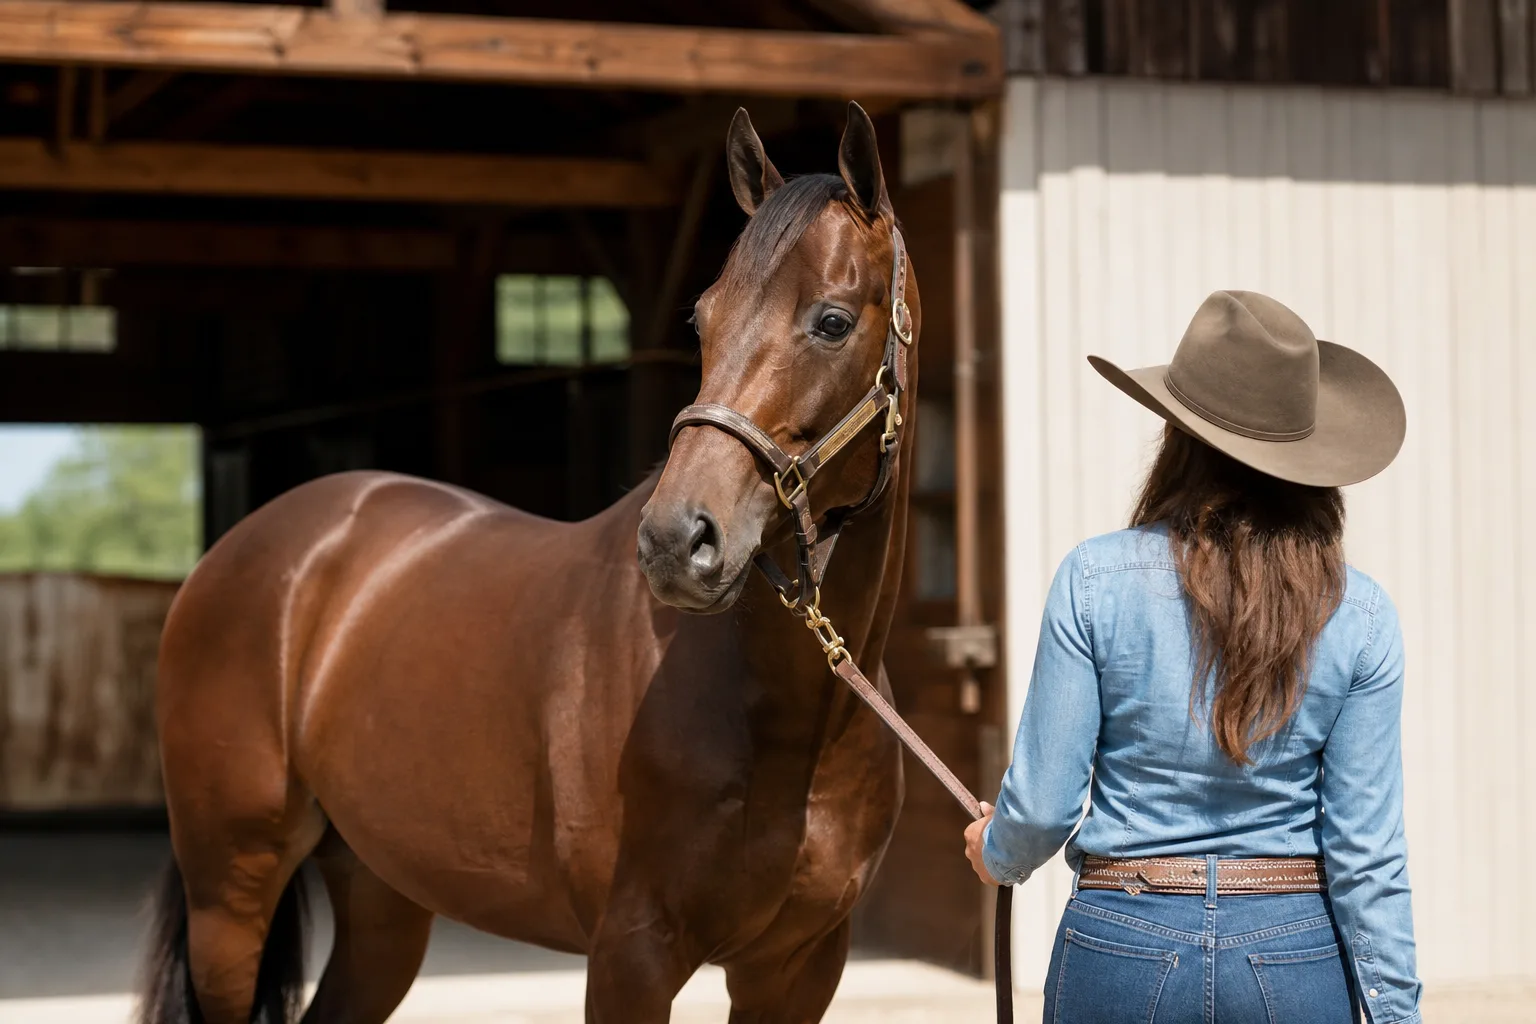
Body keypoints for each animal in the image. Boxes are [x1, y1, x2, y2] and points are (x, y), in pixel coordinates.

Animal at [137, 102, 922, 1024]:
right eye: (702, 320)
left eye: (831, 321)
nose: (675, 542)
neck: (791, 720)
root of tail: (244, 550)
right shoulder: (630, 956)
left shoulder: (799, 968)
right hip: (230, 895)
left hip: (380, 897)